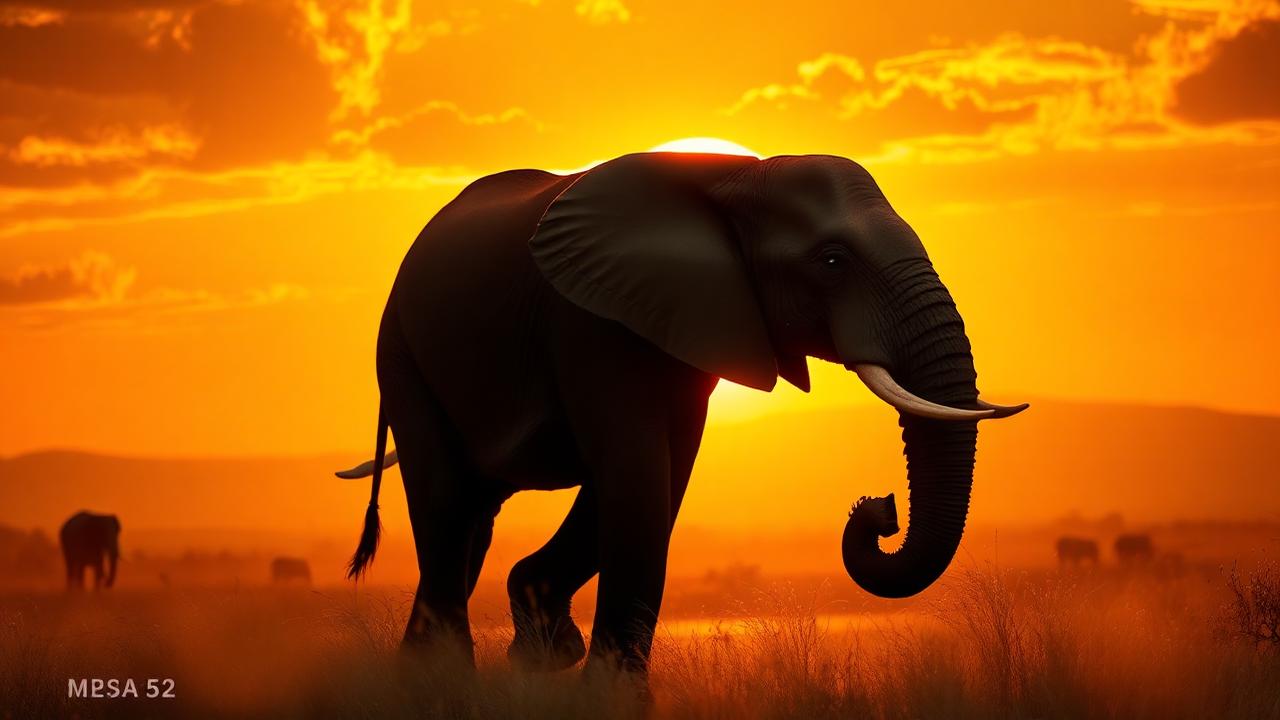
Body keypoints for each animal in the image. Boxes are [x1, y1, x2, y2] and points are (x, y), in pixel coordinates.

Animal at [335, 151, 1027, 677]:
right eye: (832, 262)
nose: (880, 509)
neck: (735, 178)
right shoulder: (590, 321)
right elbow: (637, 472)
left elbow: (665, 476)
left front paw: (545, 647)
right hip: (401, 352)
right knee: (446, 507)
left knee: (471, 520)